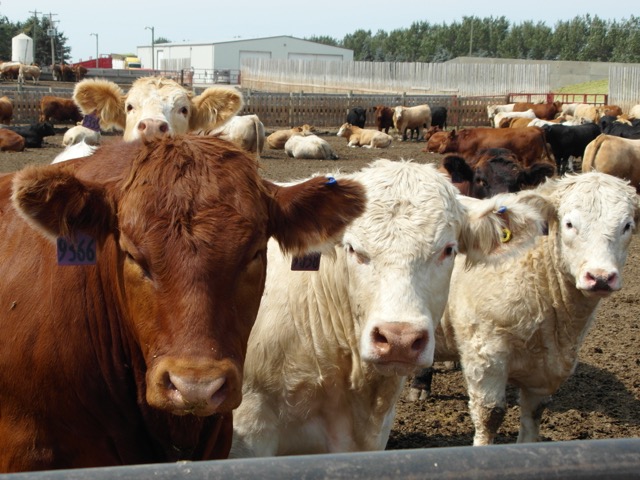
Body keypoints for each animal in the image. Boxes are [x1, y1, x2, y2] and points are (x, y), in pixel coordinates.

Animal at [412, 172, 636, 446]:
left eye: (627, 226)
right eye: (569, 224)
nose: (601, 277)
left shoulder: (542, 373)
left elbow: (533, 417)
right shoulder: (485, 355)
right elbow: (490, 415)